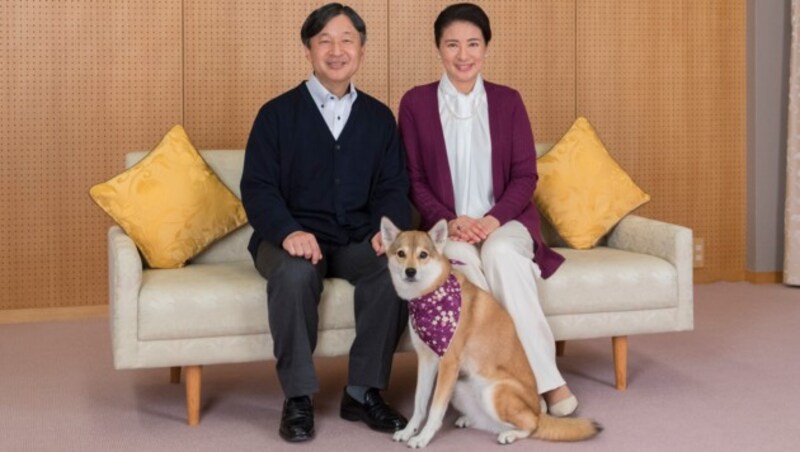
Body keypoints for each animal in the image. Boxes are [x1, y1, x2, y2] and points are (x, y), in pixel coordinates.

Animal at [382, 217, 600, 446]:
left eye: (423, 255)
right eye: (401, 253)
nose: (410, 271)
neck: (430, 295)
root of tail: (537, 410)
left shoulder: (448, 364)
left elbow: (434, 410)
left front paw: (422, 438)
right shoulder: (426, 361)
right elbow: (420, 404)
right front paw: (409, 431)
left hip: (494, 392)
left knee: (531, 425)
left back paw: (510, 434)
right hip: (460, 387)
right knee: (489, 420)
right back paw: (470, 419)